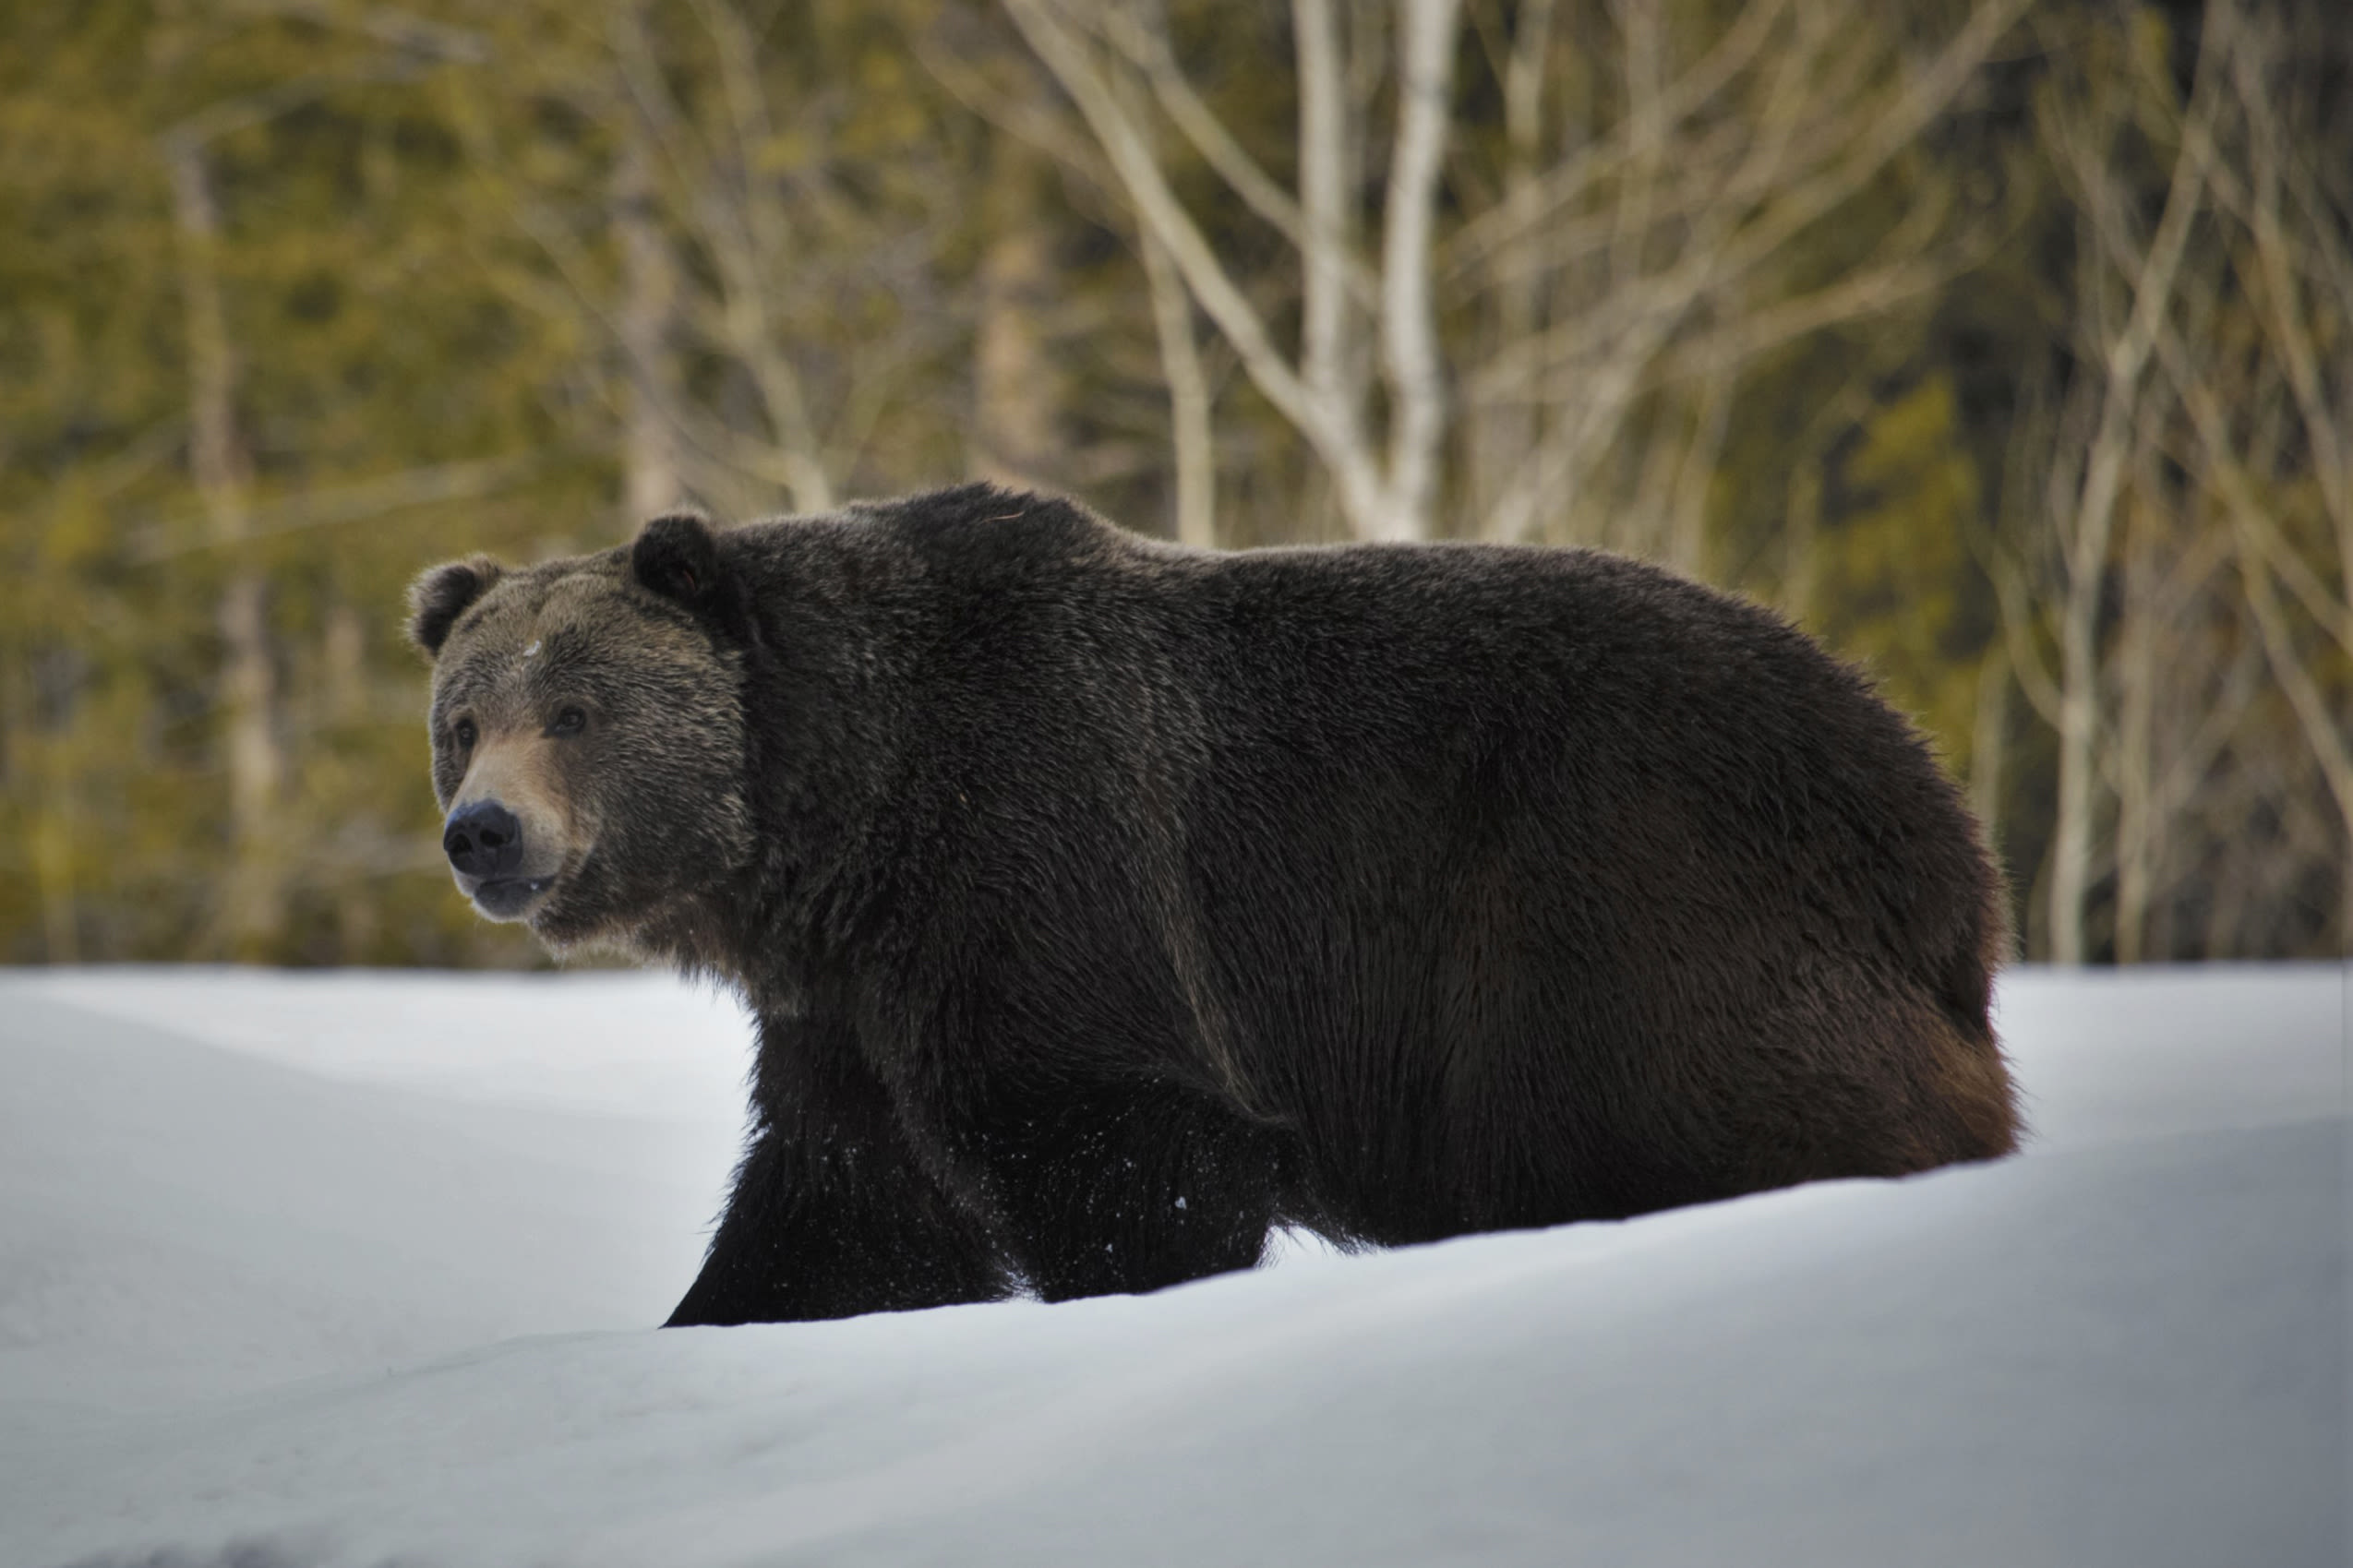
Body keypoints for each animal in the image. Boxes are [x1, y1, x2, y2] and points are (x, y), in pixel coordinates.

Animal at [409, 479, 2023, 1325]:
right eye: (463, 715)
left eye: (578, 706)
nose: (482, 831)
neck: (837, 829)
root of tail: (1944, 835)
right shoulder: (854, 1008)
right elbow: (840, 1208)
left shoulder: (1040, 864)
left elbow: (1130, 1152)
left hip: (1623, 902)